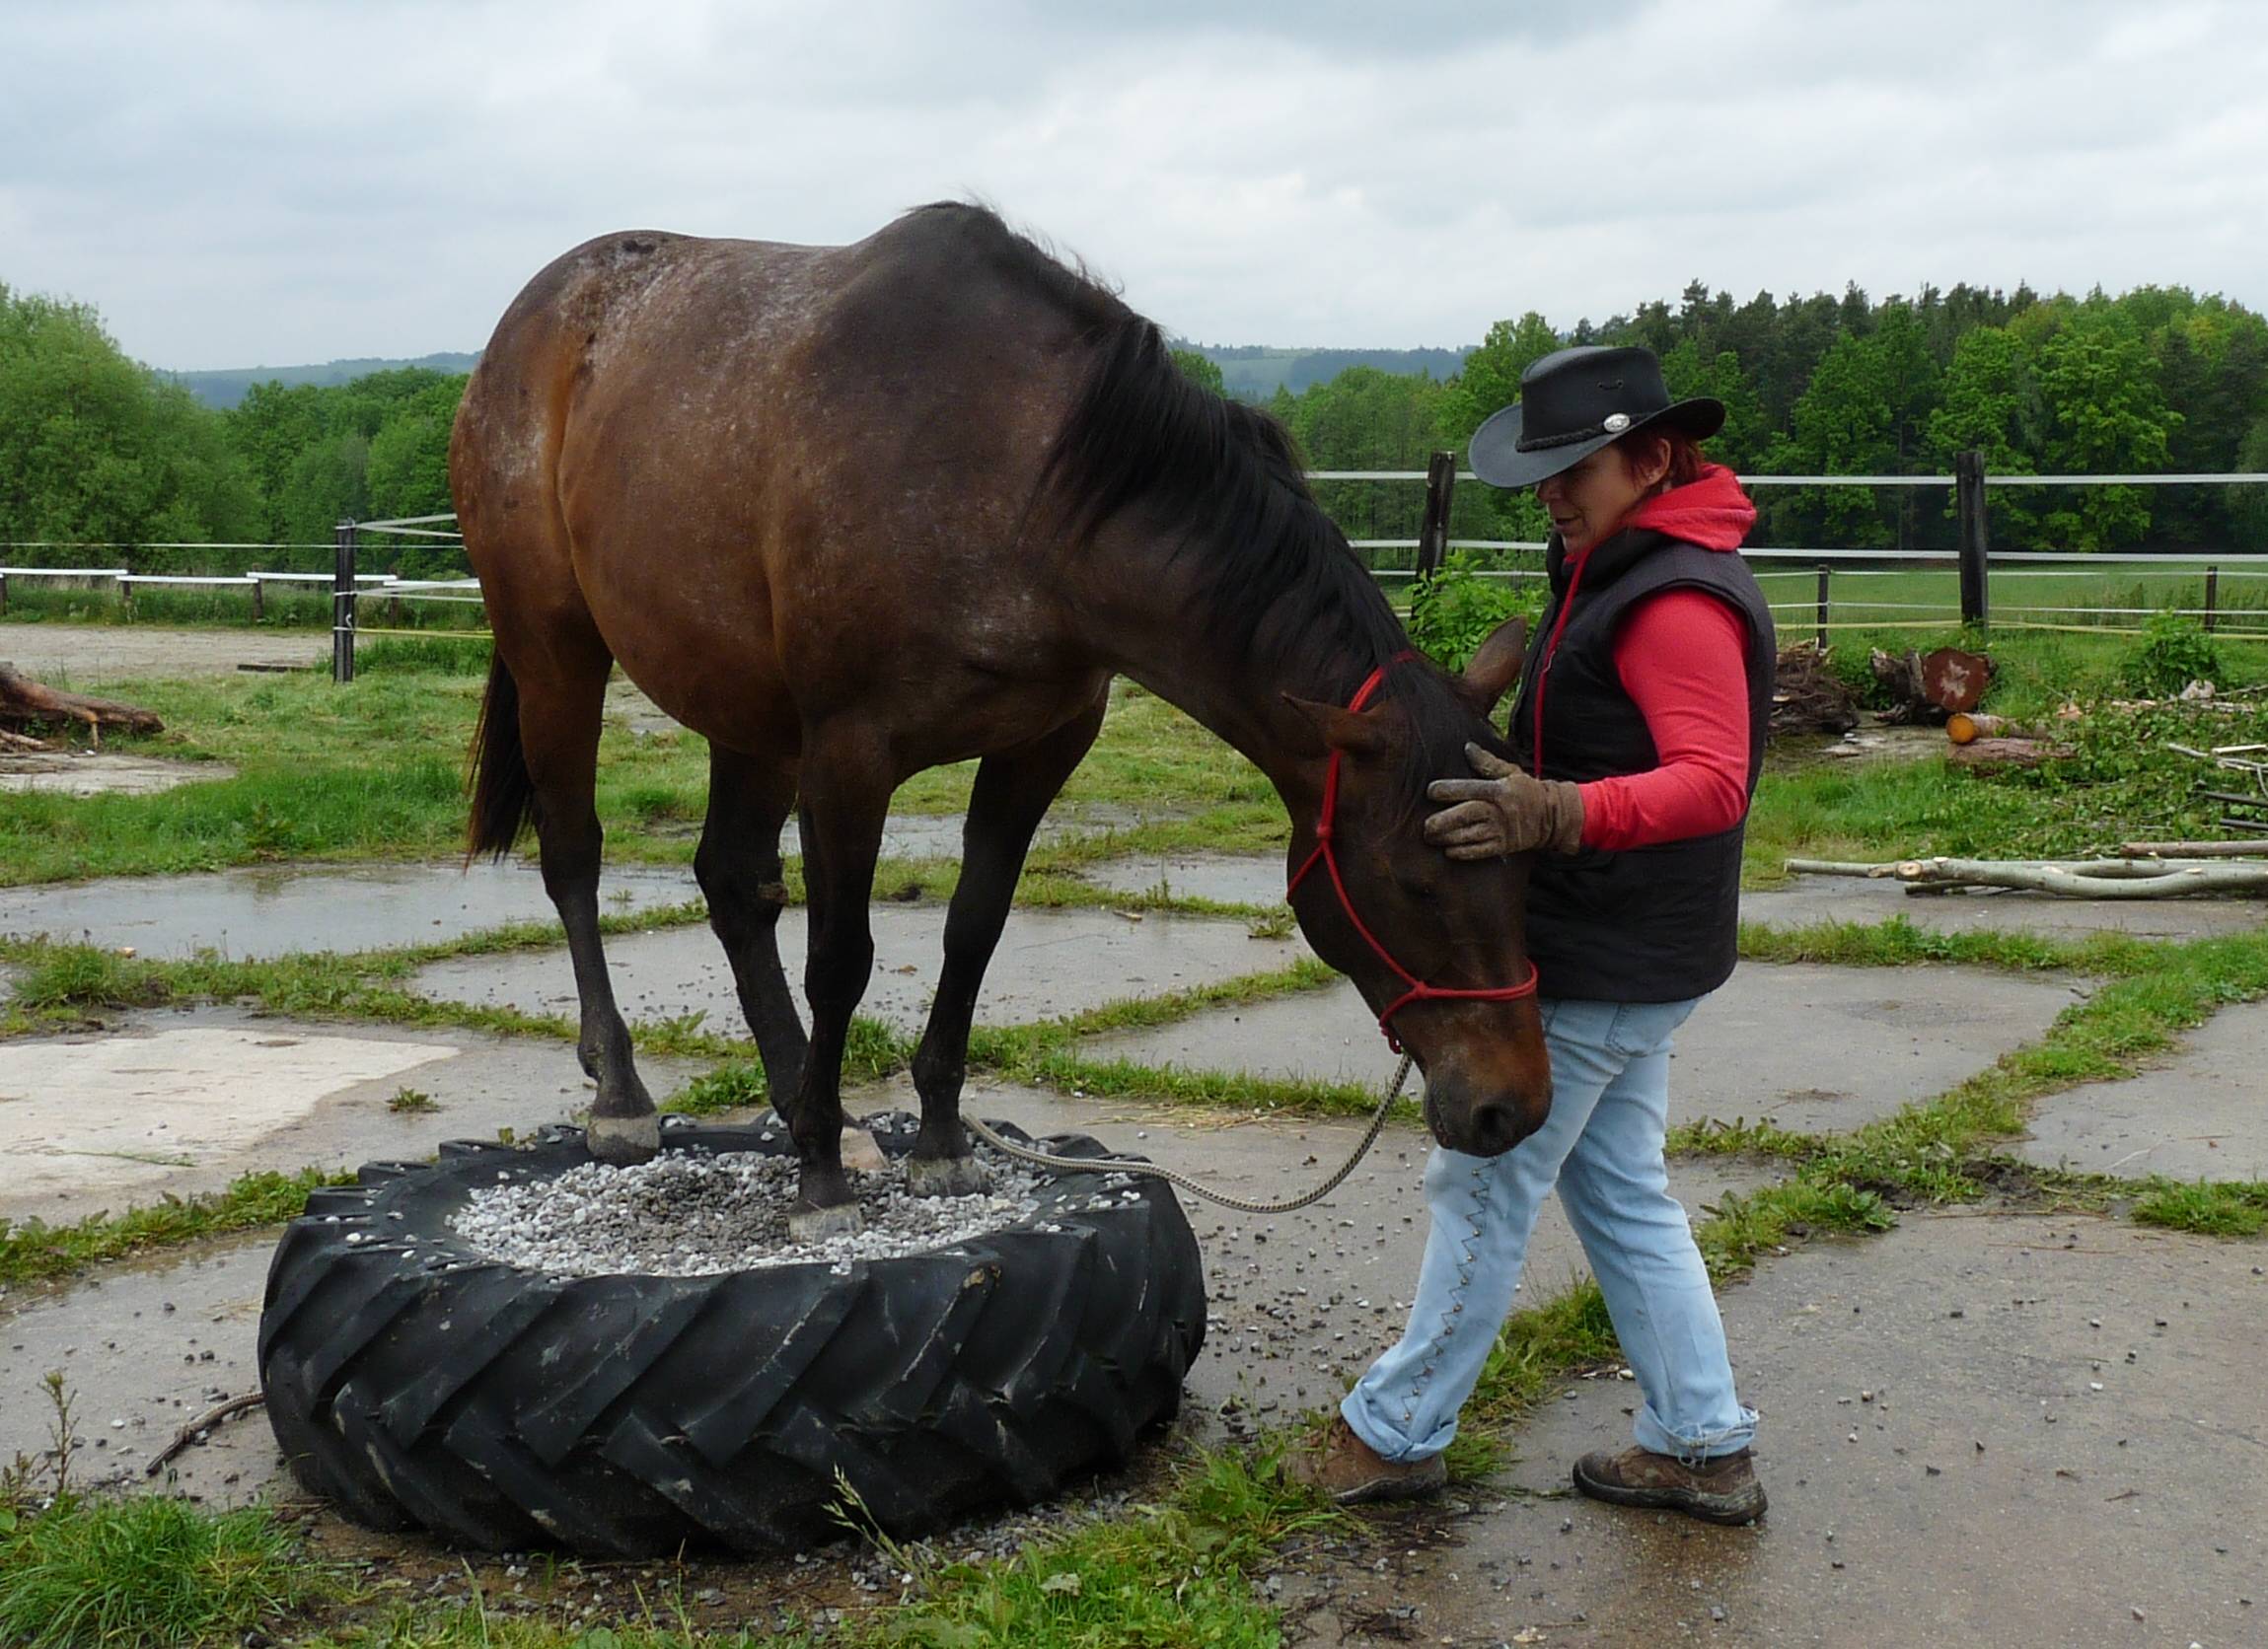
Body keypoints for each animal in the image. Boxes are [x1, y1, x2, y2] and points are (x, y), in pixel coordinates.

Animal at [451, 202, 1551, 1234]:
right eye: (1411, 882)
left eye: (1523, 871)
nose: (1512, 1108)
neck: (1012, 470)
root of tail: (529, 324)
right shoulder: (847, 759)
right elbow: (840, 959)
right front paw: (819, 1179)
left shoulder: (1038, 750)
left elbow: (972, 932)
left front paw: (934, 1142)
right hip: (557, 655)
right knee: (576, 856)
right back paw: (627, 1097)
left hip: (744, 708)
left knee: (731, 882)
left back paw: (804, 1102)